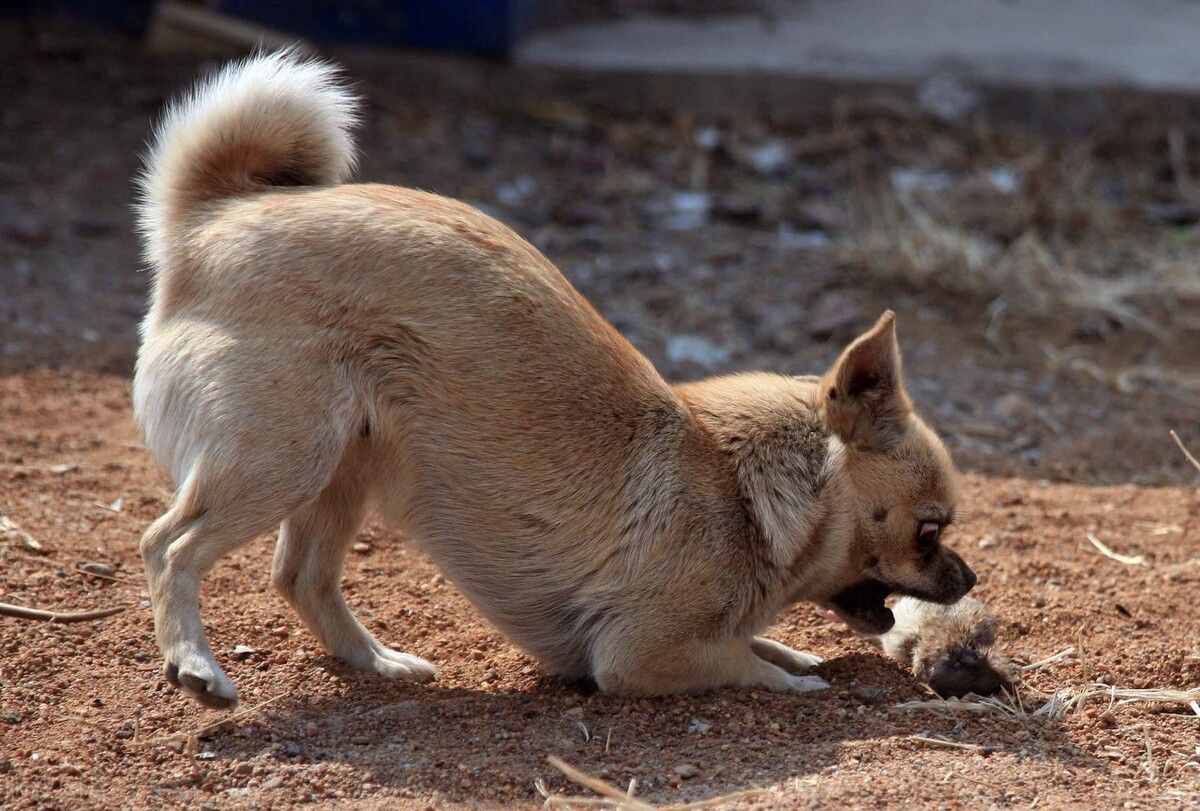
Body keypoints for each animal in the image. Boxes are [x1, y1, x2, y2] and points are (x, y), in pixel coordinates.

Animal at [133, 52, 974, 710]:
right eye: (930, 529)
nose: (968, 578)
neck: (745, 488)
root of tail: (210, 217)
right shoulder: (638, 653)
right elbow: (744, 660)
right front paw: (796, 676)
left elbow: (761, 642)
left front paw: (792, 650)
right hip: (286, 458)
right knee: (167, 544)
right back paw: (195, 663)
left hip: (349, 463)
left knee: (300, 575)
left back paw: (377, 661)